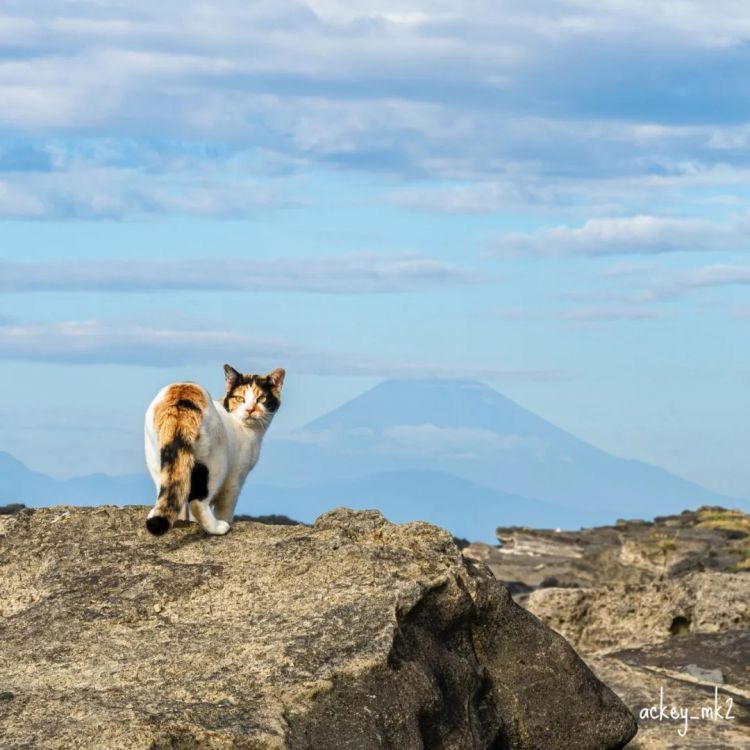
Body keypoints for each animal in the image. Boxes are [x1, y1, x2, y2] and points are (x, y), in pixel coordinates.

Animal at [144, 362, 284, 536]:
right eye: (240, 398)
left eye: (262, 398)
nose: (250, 409)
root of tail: (182, 397)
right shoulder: (233, 481)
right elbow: (225, 509)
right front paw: (224, 521)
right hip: (215, 464)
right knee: (197, 502)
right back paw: (218, 527)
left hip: (161, 460)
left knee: (173, 492)